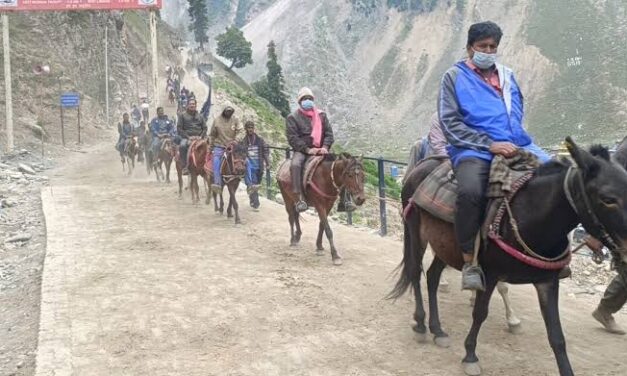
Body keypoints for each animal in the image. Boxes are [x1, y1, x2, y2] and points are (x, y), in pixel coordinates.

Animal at [390, 139, 627, 376]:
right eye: (608, 199)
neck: (532, 218)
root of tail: (421, 167)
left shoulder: (547, 282)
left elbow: (556, 335)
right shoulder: (490, 274)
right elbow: (480, 313)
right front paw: (470, 356)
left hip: (446, 247)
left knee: (432, 277)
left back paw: (438, 330)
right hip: (416, 233)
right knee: (415, 272)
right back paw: (421, 325)